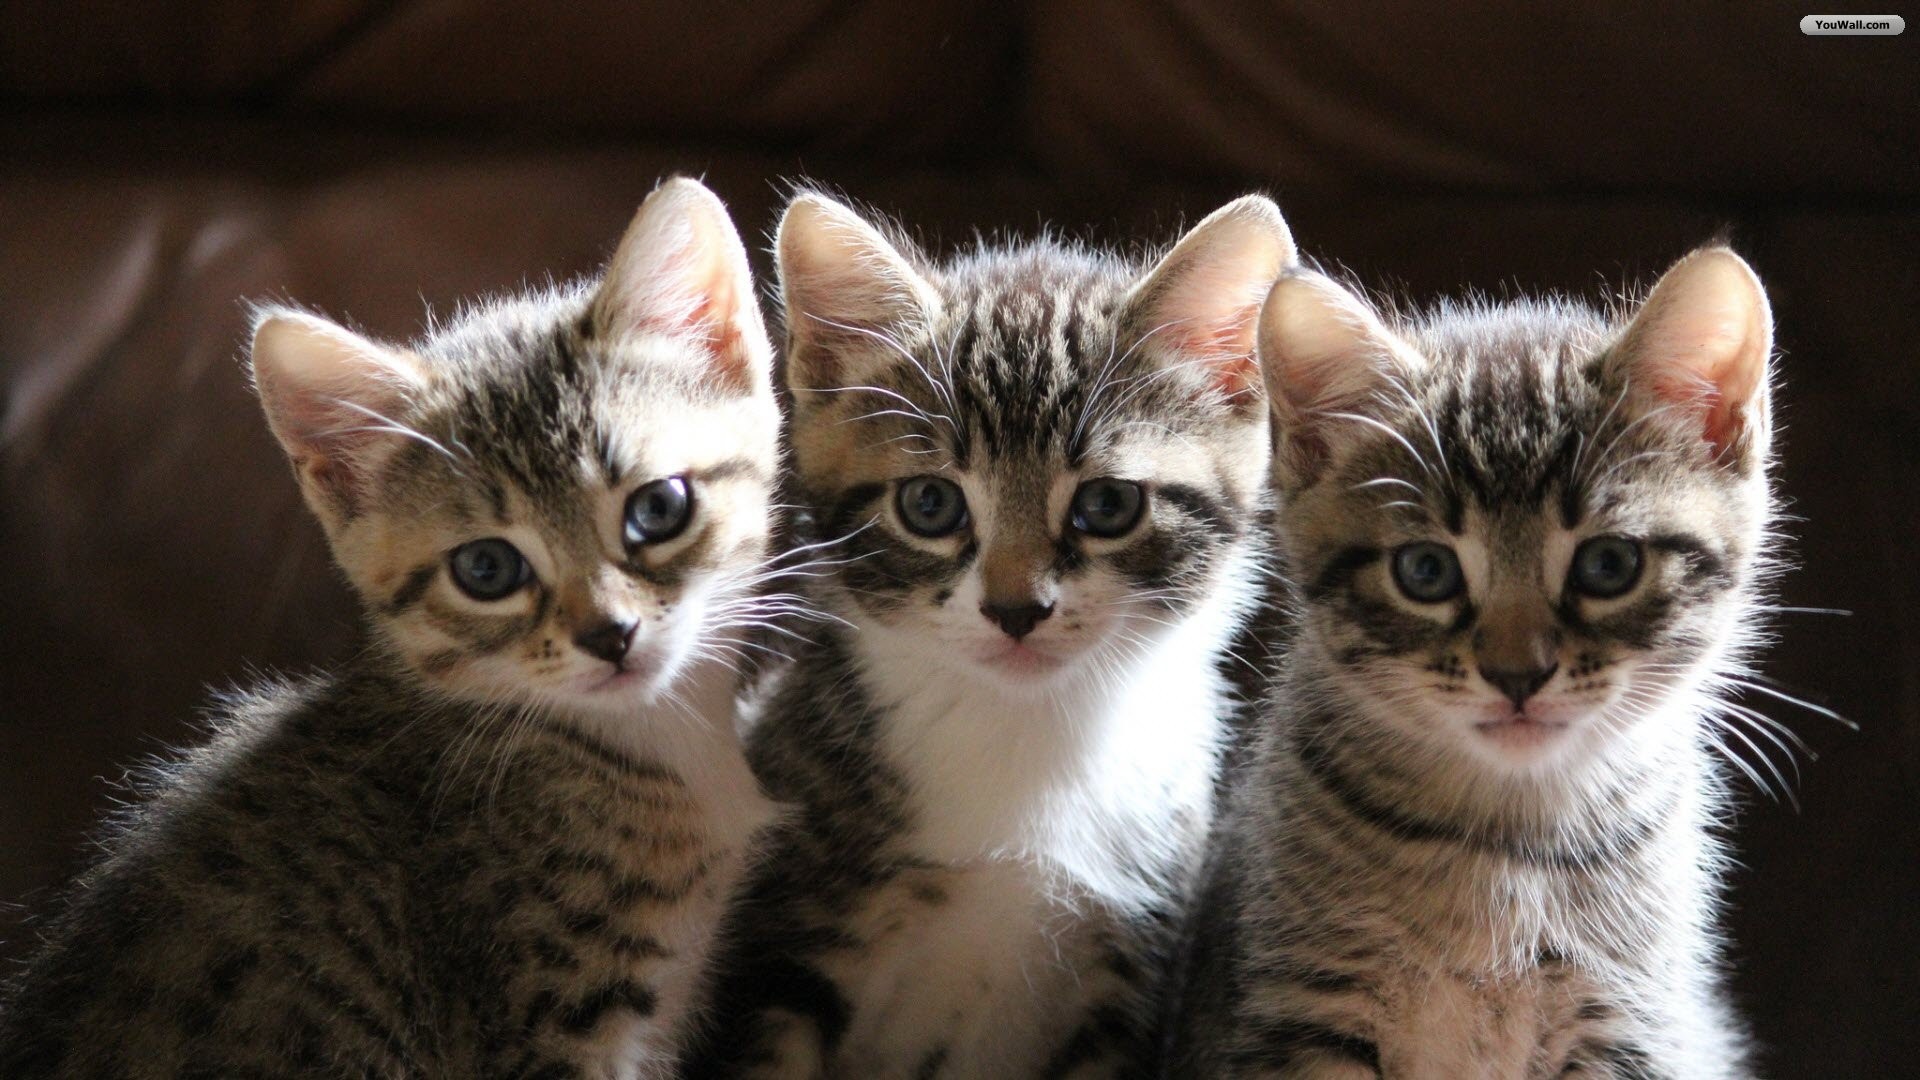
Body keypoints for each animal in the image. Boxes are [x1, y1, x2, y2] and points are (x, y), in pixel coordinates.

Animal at [683, 189, 1297, 1068]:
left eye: (1108, 504)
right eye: (930, 504)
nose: (1015, 610)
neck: (1024, 732)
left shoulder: (1128, 975)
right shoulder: (779, 948)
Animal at [1167, 247, 1781, 1068]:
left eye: (1609, 565)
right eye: (1426, 571)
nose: (1518, 674)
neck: (1508, 848)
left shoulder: (1629, 1023)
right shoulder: (1300, 1013)